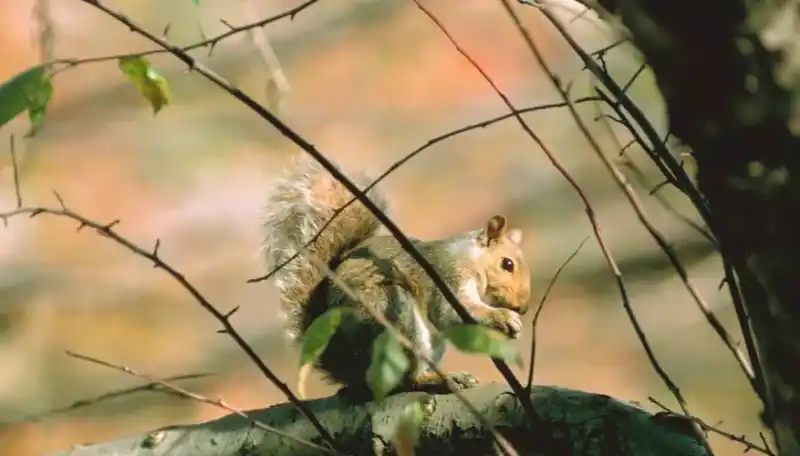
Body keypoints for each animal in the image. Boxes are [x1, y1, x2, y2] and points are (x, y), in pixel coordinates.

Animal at [261, 157, 531, 397]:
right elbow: (451, 314)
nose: (523, 307)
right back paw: (443, 381)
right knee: (409, 379)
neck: (470, 259)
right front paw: (504, 318)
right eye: (507, 264)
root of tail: (347, 368)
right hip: (393, 314)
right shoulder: (447, 277)